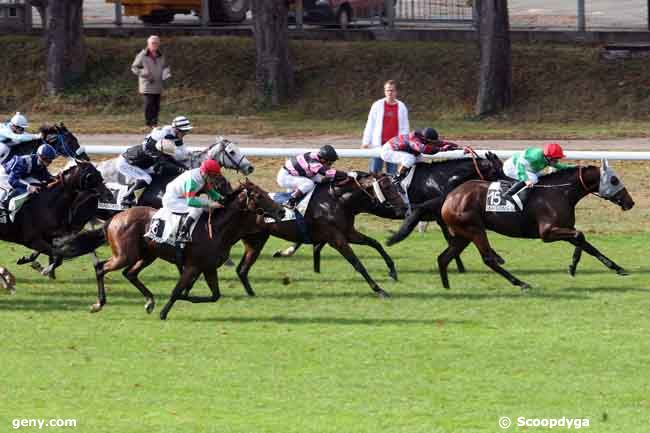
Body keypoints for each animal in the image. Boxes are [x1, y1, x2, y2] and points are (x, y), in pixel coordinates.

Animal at [58, 178, 284, 318]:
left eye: (265, 192)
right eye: (259, 195)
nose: (281, 211)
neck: (218, 229)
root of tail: (114, 219)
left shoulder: (208, 267)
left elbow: (214, 295)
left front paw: (182, 298)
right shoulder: (193, 266)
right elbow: (177, 291)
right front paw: (164, 312)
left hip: (146, 255)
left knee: (130, 273)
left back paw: (149, 301)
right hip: (125, 255)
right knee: (101, 268)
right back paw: (99, 303)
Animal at [235, 172, 402, 296]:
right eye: (386, 186)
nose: (404, 208)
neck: (337, 201)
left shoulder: (348, 233)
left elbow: (375, 243)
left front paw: (392, 271)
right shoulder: (336, 238)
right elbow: (357, 263)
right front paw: (379, 290)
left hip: (255, 240)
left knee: (241, 269)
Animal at [436, 160, 632, 288]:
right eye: (614, 180)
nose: (630, 202)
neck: (560, 192)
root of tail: (451, 196)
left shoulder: (564, 228)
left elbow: (586, 243)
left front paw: (617, 268)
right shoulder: (547, 232)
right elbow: (580, 236)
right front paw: (573, 267)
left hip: (463, 234)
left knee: (443, 258)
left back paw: (447, 287)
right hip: (475, 230)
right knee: (488, 259)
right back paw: (521, 283)